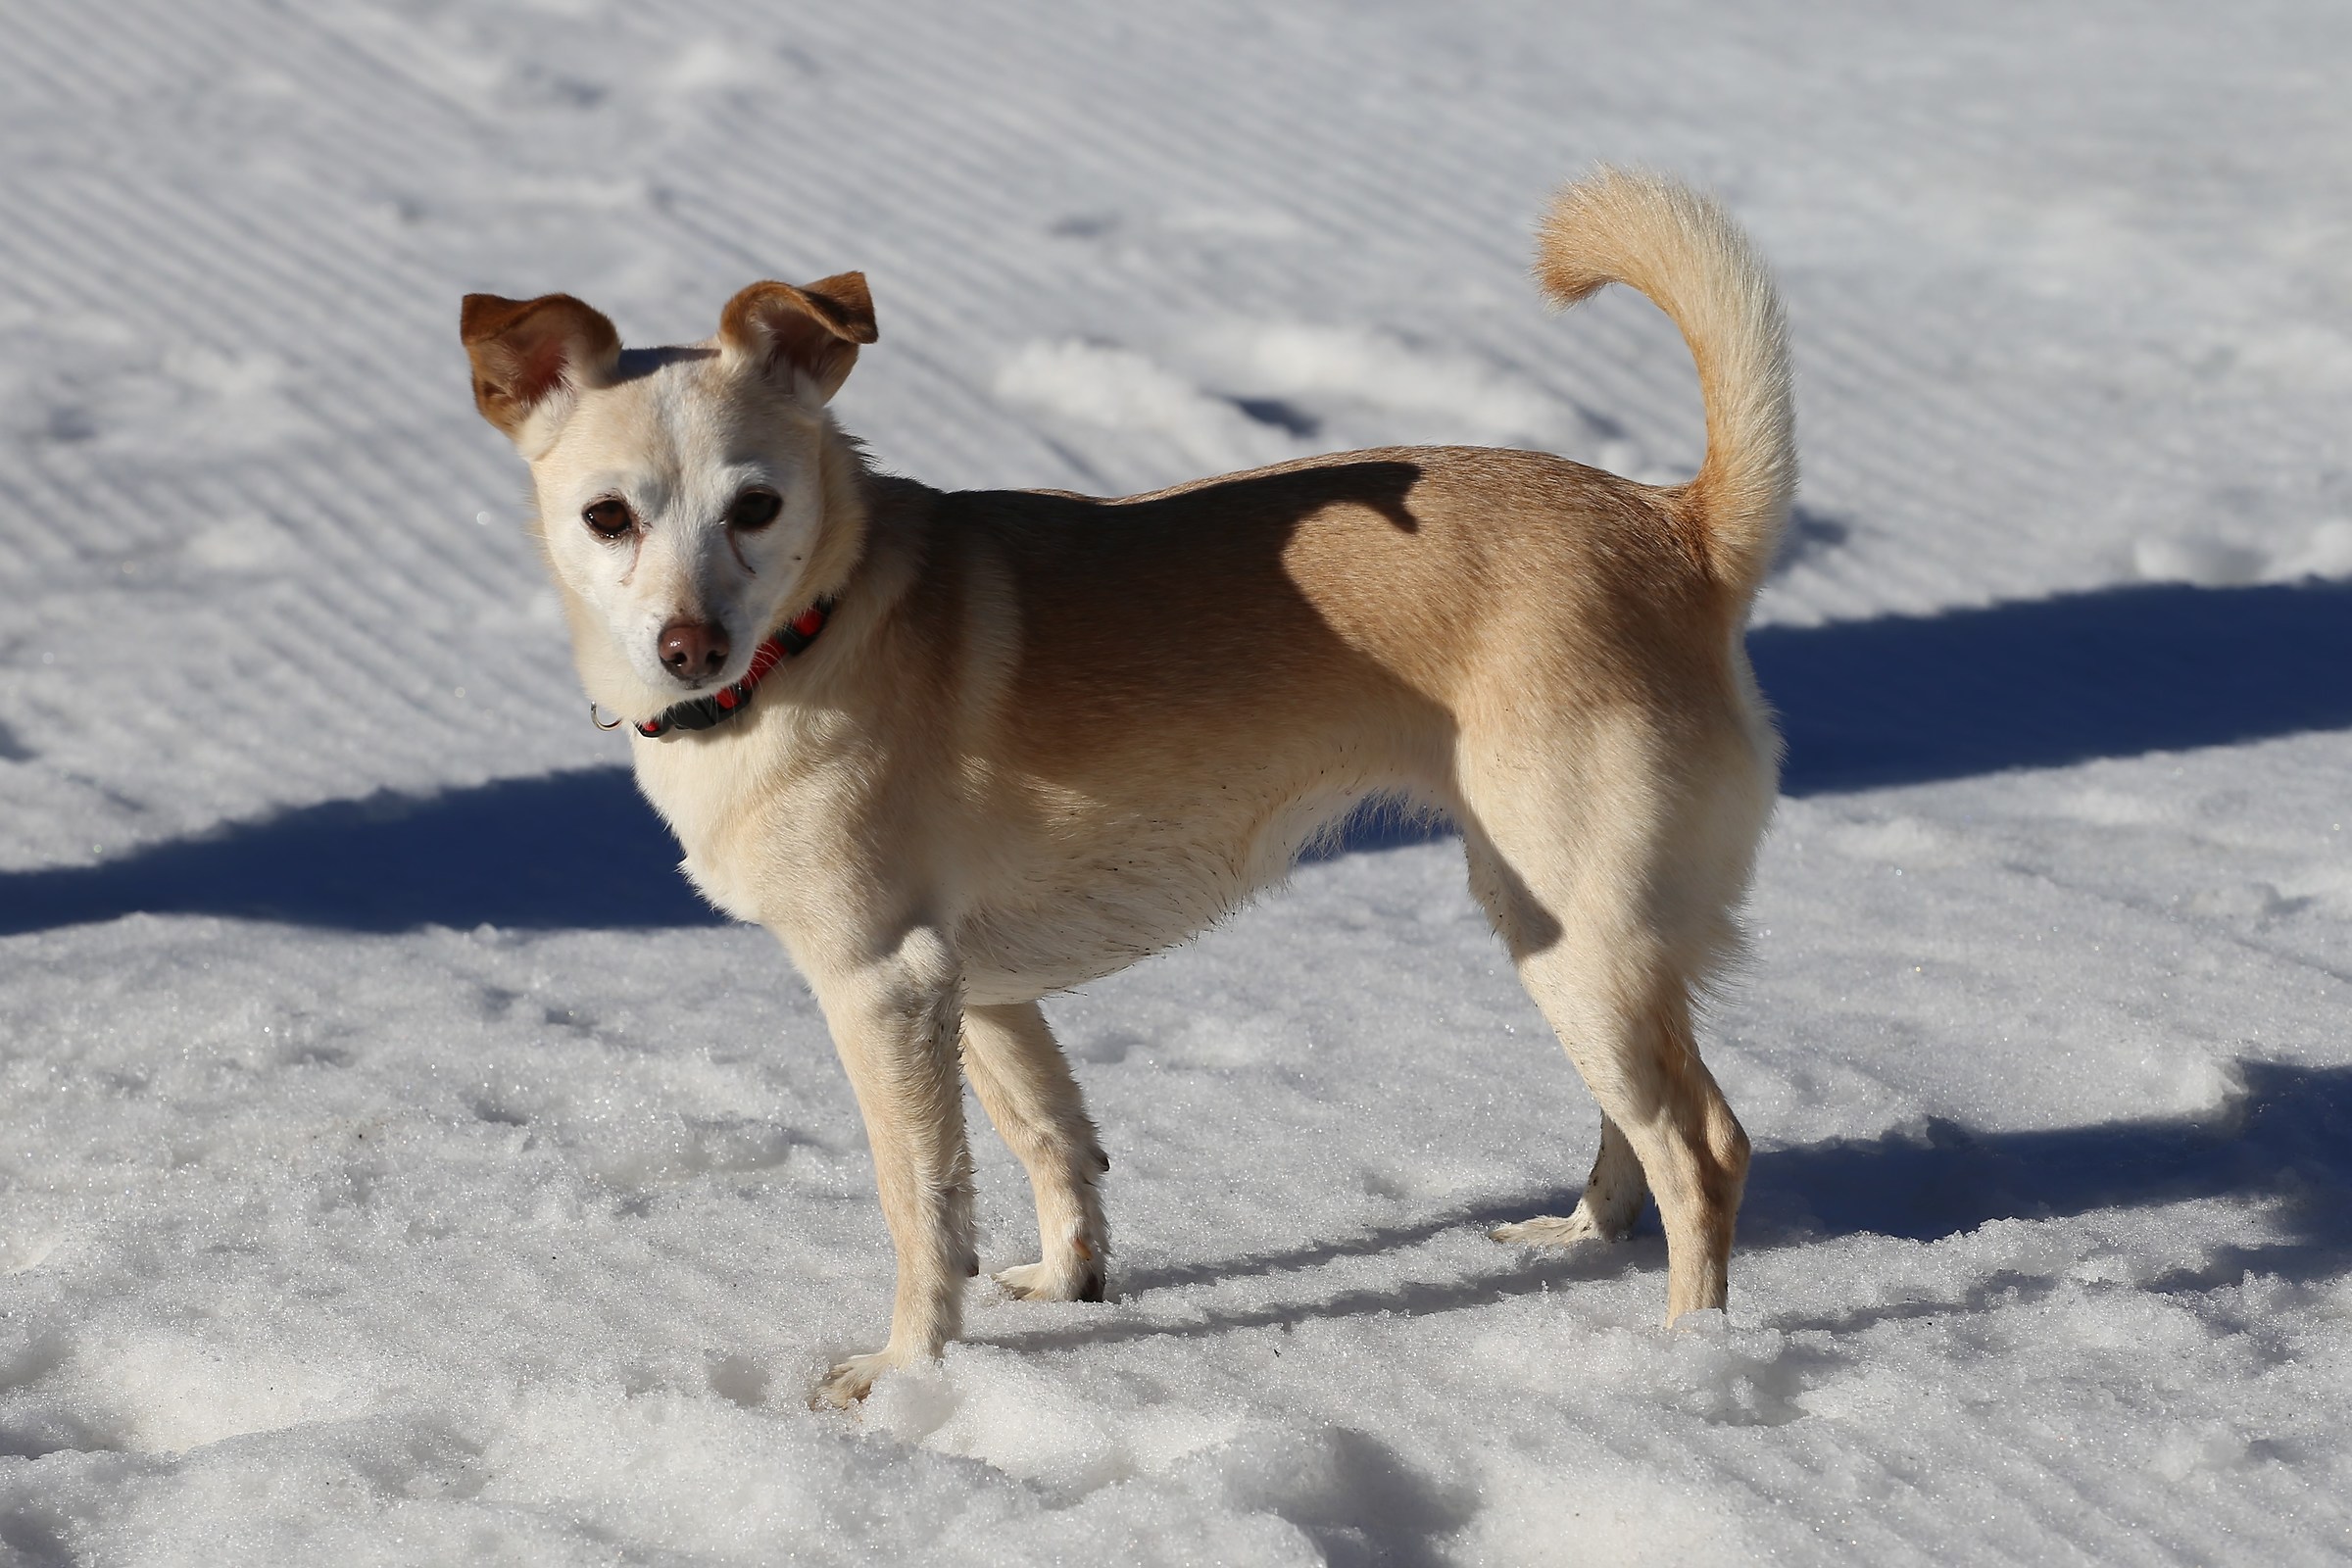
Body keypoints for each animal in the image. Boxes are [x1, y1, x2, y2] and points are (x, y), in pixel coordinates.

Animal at [454, 169, 1778, 1410]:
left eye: (758, 507)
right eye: (607, 517)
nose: (689, 646)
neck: (815, 634)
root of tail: (1680, 527)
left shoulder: (884, 984)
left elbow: (922, 1202)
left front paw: (908, 1376)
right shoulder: (979, 988)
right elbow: (1051, 1139)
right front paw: (1069, 1284)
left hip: (1573, 930)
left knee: (1706, 1145)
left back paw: (1687, 1357)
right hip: (1572, 931)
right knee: (1640, 1123)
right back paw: (1585, 1238)